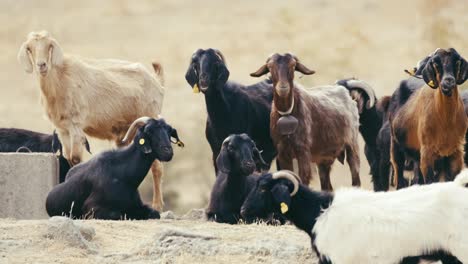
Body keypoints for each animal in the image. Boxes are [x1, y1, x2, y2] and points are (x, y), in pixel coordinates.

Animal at [18, 30, 168, 210]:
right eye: (30, 48)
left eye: (49, 46)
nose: (42, 65)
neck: (60, 80)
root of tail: (156, 81)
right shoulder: (63, 130)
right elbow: (68, 157)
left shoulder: (76, 125)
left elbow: (75, 159)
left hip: (150, 115)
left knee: (157, 167)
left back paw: (157, 205)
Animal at [44, 116, 182, 220]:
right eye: (149, 131)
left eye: (169, 131)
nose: (168, 152)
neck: (124, 176)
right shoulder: (92, 208)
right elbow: (117, 214)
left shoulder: (137, 205)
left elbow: (154, 213)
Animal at [250, 53, 360, 190]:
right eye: (270, 67)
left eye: (293, 65)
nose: (283, 88)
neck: (287, 113)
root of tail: (347, 94)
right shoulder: (282, 153)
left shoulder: (303, 151)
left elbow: (303, 178)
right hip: (324, 158)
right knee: (327, 186)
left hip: (352, 145)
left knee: (356, 178)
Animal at [392, 48, 468, 188]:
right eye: (436, 63)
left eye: (457, 62)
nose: (448, 81)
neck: (446, 122)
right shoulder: (427, 152)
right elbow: (429, 181)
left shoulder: (456, 152)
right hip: (396, 147)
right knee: (399, 176)